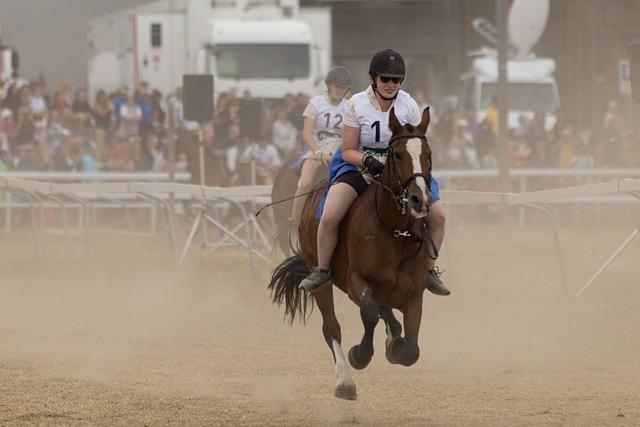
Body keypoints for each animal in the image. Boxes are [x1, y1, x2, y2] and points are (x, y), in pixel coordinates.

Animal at [268, 107, 432, 402]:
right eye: (397, 154)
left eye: (427, 154)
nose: (418, 199)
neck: (393, 231)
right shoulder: (357, 282)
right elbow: (369, 314)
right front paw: (360, 355)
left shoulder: (415, 293)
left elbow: (411, 350)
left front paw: (396, 345)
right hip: (320, 277)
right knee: (332, 327)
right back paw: (345, 380)